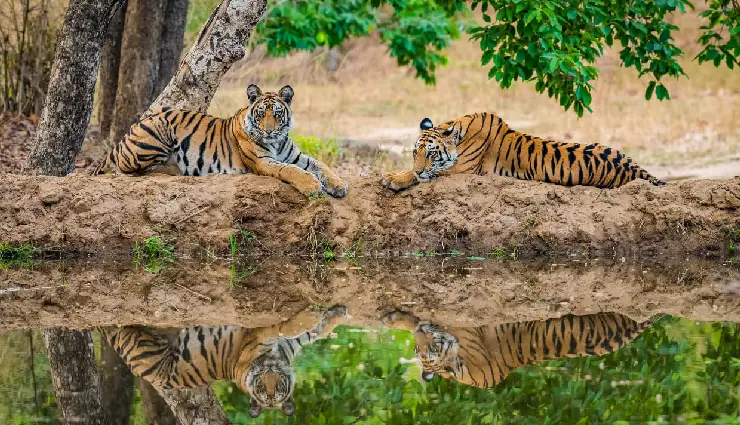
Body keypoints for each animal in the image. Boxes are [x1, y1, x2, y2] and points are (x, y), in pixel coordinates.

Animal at [90, 84, 348, 198]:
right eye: (260, 114)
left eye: (277, 113)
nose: (269, 131)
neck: (277, 142)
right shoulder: (263, 162)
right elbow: (291, 171)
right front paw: (313, 186)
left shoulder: (295, 156)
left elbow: (320, 165)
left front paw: (339, 185)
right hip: (158, 131)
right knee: (127, 170)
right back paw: (175, 169)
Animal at [100, 305, 348, 418]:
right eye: (262, 389)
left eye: (276, 390)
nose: (268, 379)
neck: (278, 359)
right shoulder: (260, 337)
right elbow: (296, 328)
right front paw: (327, 314)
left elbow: (305, 331)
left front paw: (330, 314)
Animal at [381, 112, 666, 191]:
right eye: (414, 153)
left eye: (430, 154)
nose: (420, 167)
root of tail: (636, 168)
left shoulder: (461, 171)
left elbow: (420, 176)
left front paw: (392, 178)